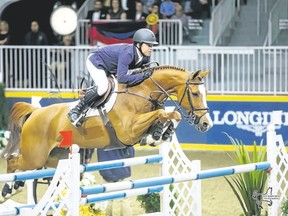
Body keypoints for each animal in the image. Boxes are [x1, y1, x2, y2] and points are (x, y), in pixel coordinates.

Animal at [0, 66, 212, 199]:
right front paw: (160, 133)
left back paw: (16, 187)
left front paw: (160, 134)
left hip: (53, 158)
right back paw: (9, 190)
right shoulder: (128, 131)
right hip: (35, 155)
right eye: (195, 94)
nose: (206, 124)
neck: (142, 92)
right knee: (13, 160)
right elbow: (164, 113)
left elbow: (170, 114)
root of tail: (35, 112)